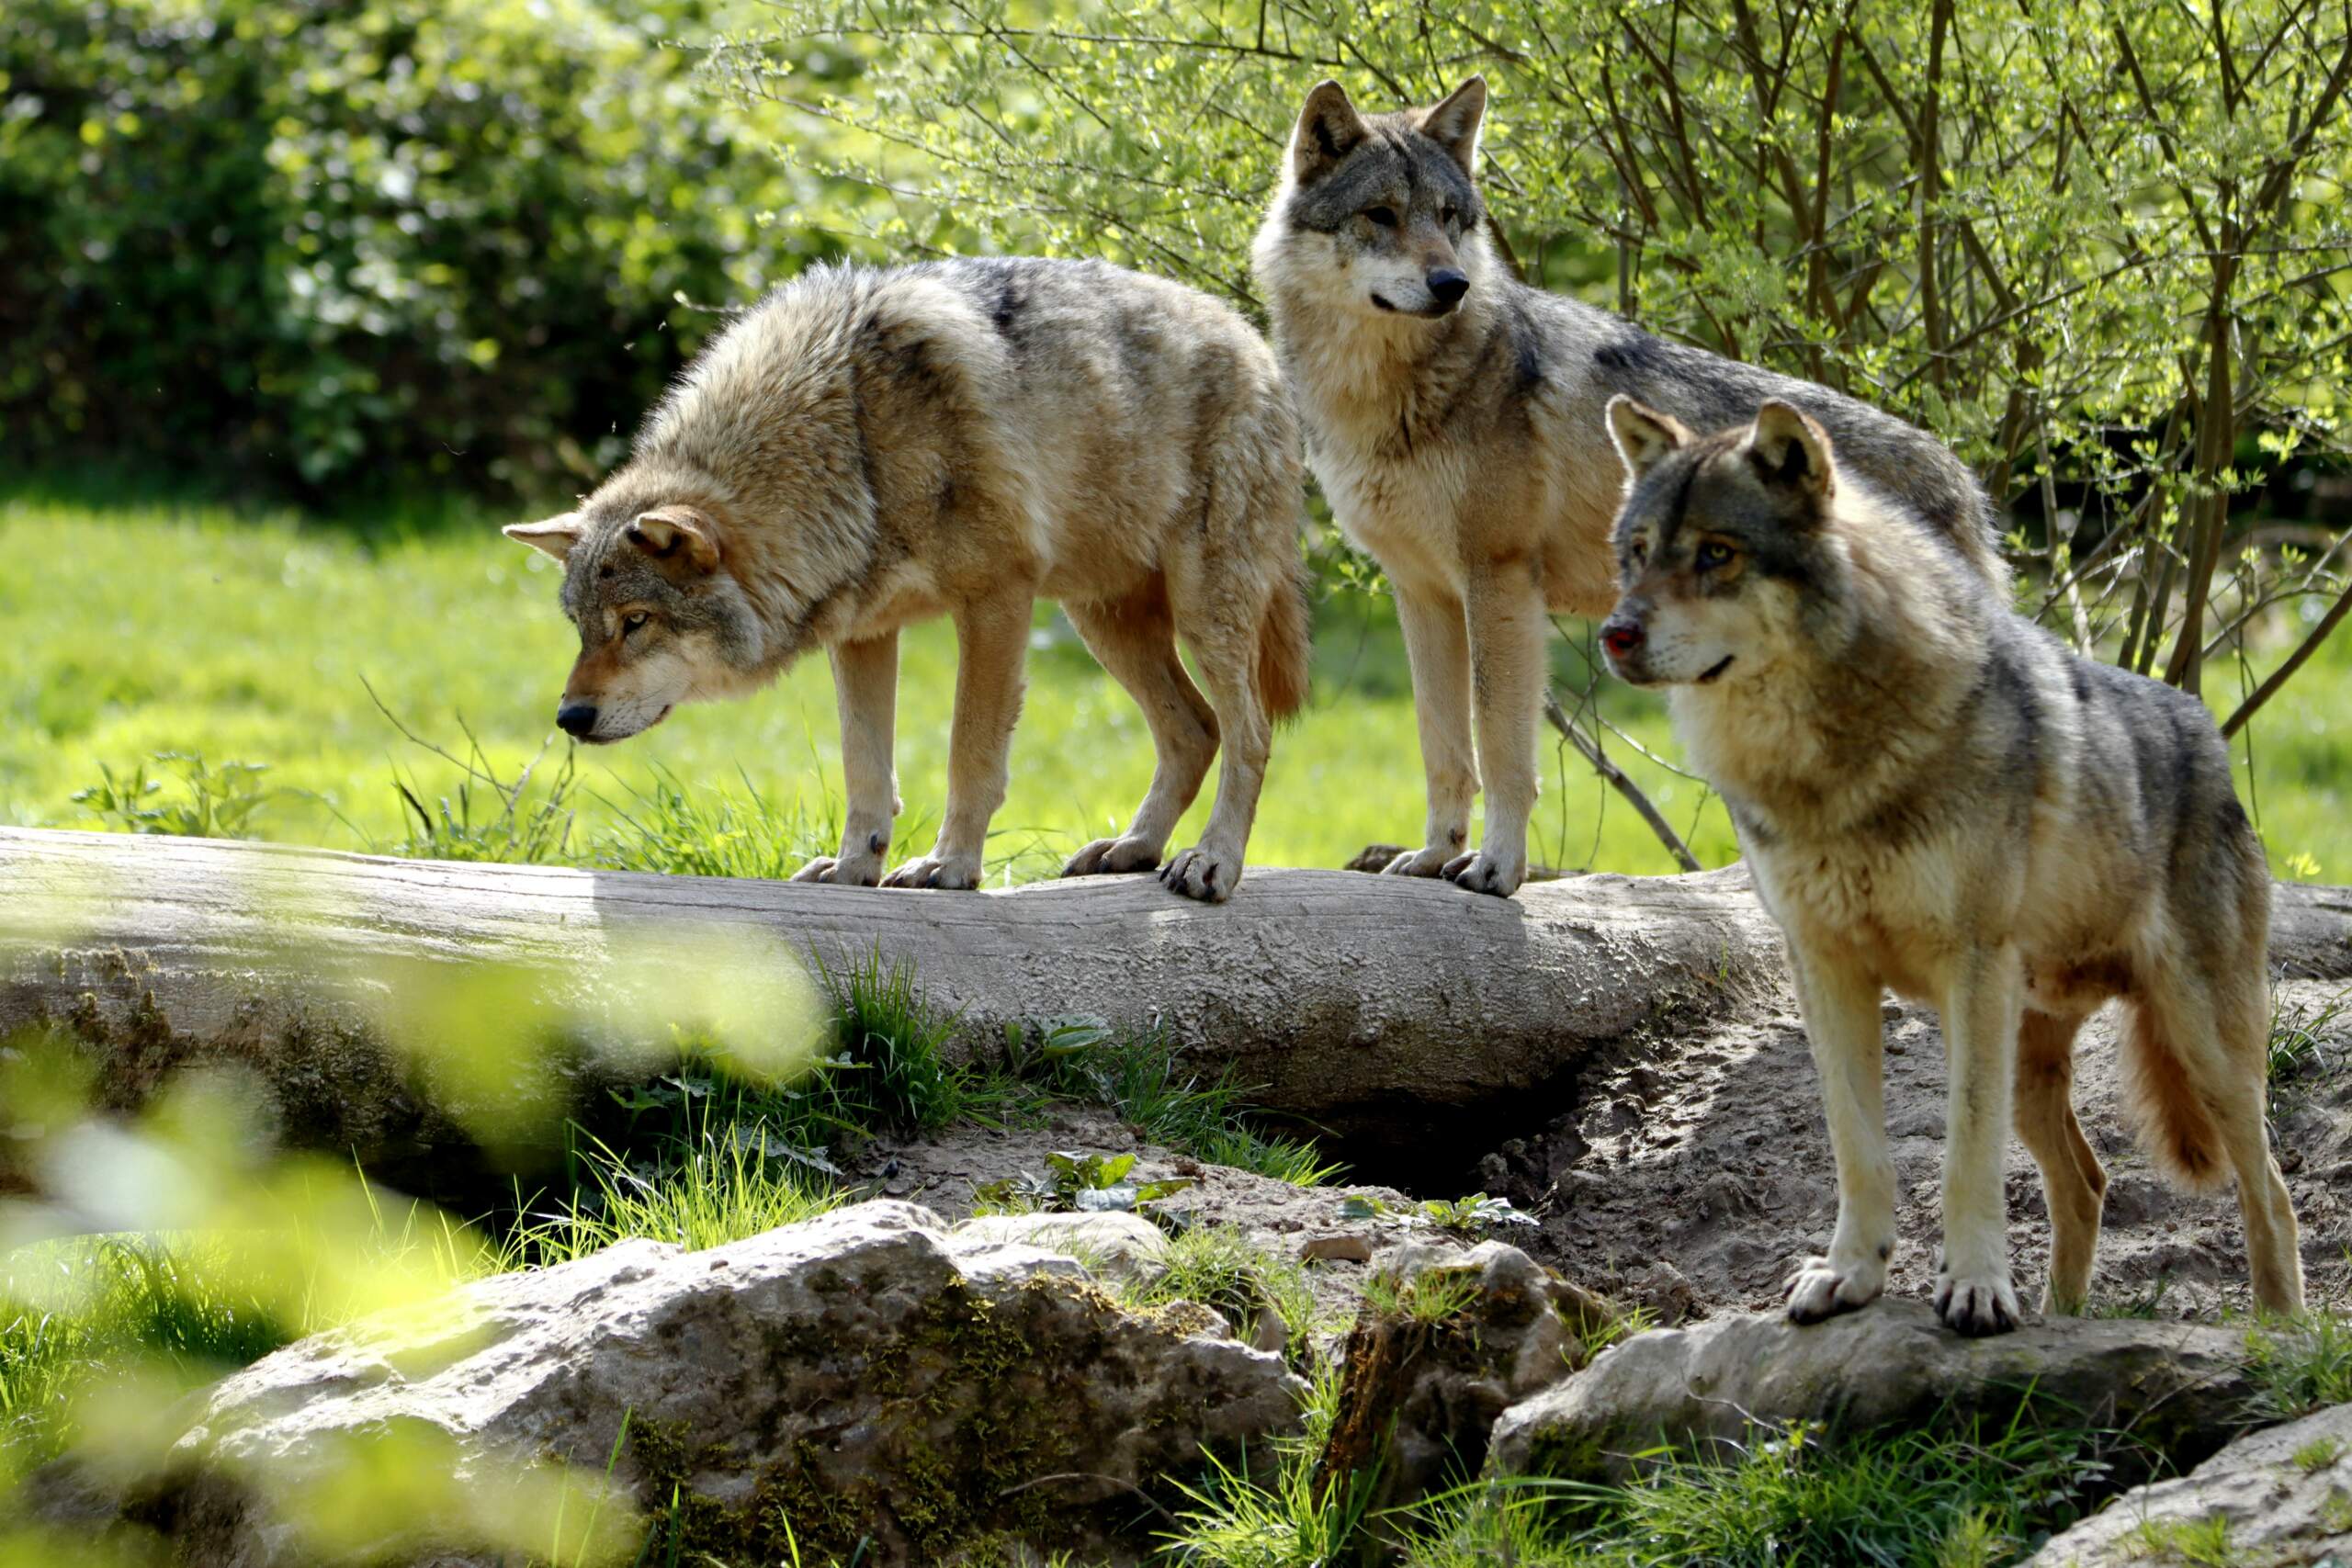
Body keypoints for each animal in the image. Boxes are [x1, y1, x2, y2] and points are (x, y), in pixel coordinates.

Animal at [505, 261, 1317, 907]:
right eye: (583, 628)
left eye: (637, 621)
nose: (569, 717)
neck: (850, 440)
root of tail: (1254, 337)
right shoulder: (865, 631)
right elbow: (865, 765)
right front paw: (851, 869)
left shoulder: (996, 601)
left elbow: (970, 752)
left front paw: (949, 865)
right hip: (1103, 621)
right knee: (1195, 728)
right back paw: (1133, 849)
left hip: (1199, 612)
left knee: (1248, 732)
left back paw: (1211, 862)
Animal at [1250, 76, 2004, 893]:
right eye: (1381, 215)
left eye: (1449, 218)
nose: (1451, 284)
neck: (1388, 397)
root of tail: (1964, 479)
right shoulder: (1421, 593)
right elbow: (1443, 746)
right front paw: (1432, 856)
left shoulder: (1500, 583)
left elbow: (1502, 748)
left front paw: (1496, 866)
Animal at [1599, 394, 2295, 1335]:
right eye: (1638, 553)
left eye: (1716, 553)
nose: (1615, 633)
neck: (1830, 769)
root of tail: (2207, 731)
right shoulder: (1825, 971)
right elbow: (1858, 1148)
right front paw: (1850, 1274)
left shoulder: (1971, 969)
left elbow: (1966, 1153)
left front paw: (1975, 1288)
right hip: (2036, 1058)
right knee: (2088, 1183)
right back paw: (2063, 1318)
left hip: (2201, 1048)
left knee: (2271, 1192)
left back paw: (2280, 1329)